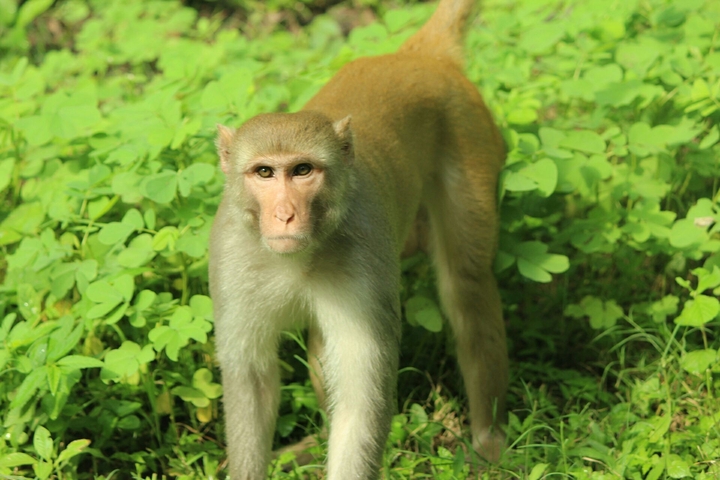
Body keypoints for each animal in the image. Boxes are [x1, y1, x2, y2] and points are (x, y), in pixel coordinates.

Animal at [208, 0, 508, 478]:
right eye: (264, 172)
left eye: (303, 170)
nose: (285, 214)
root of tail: (418, 57)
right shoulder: (232, 254)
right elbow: (252, 384)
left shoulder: (364, 255)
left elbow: (361, 400)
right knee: (320, 344)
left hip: (470, 135)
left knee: (466, 282)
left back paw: (489, 438)